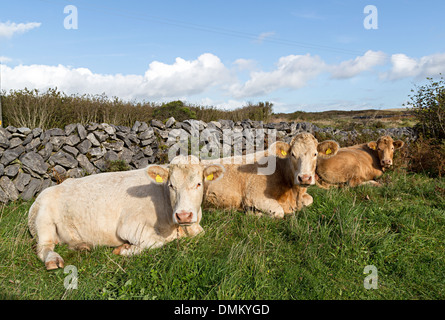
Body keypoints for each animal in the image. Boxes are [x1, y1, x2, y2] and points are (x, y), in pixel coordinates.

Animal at [27, 156, 224, 268]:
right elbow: (157, 242)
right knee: (44, 247)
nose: (183, 215)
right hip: (43, 220)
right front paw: (124, 249)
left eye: (198, 183)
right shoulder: (129, 225)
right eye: (171, 185)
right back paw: (53, 260)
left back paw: (83, 246)